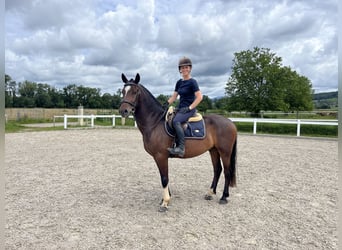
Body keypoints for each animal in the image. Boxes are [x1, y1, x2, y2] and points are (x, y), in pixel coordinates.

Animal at [119, 73, 236, 212]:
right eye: (123, 91)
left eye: (135, 91)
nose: (123, 111)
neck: (155, 122)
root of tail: (230, 122)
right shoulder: (159, 157)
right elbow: (164, 177)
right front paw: (165, 199)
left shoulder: (161, 156)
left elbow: (164, 178)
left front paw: (165, 203)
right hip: (213, 150)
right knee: (217, 170)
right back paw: (210, 193)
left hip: (225, 152)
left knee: (227, 172)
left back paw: (224, 197)